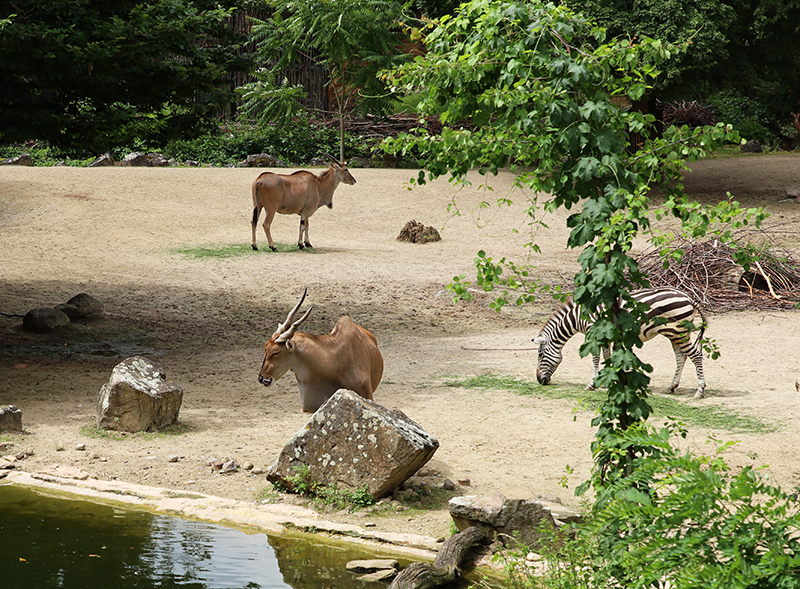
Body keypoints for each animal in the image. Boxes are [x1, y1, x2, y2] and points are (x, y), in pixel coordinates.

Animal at [532, 288, 708, 398]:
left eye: (540, 354)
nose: (540, 380)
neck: (578, 316)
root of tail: (689, 297)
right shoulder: (605, 335)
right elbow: (606, 356)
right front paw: (608, 380)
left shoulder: (594, 333)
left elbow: (595, 358)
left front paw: (592, 383)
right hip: (676, 333)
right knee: (681, 357)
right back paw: (672, 386)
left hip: (677, 332)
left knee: (696, 356)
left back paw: (700, 390)